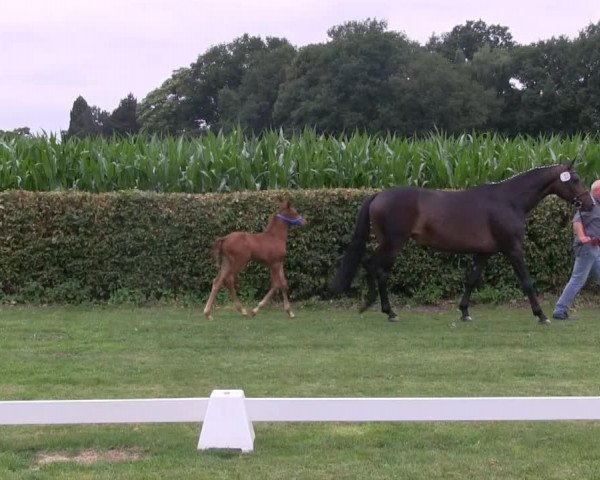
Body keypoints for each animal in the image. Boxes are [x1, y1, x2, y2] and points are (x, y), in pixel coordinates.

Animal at [330, 162, 592, 326]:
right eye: (576, 179)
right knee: (373, 266)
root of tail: (378, 195)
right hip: (393, 243)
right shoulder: (512, 248)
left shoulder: (484, 252)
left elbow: (471, 280)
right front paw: (541, 315)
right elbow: (526, 282)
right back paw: (382, 308)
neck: (509, 200)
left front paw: (465, 312)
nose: (589, 204)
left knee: (376, 268)